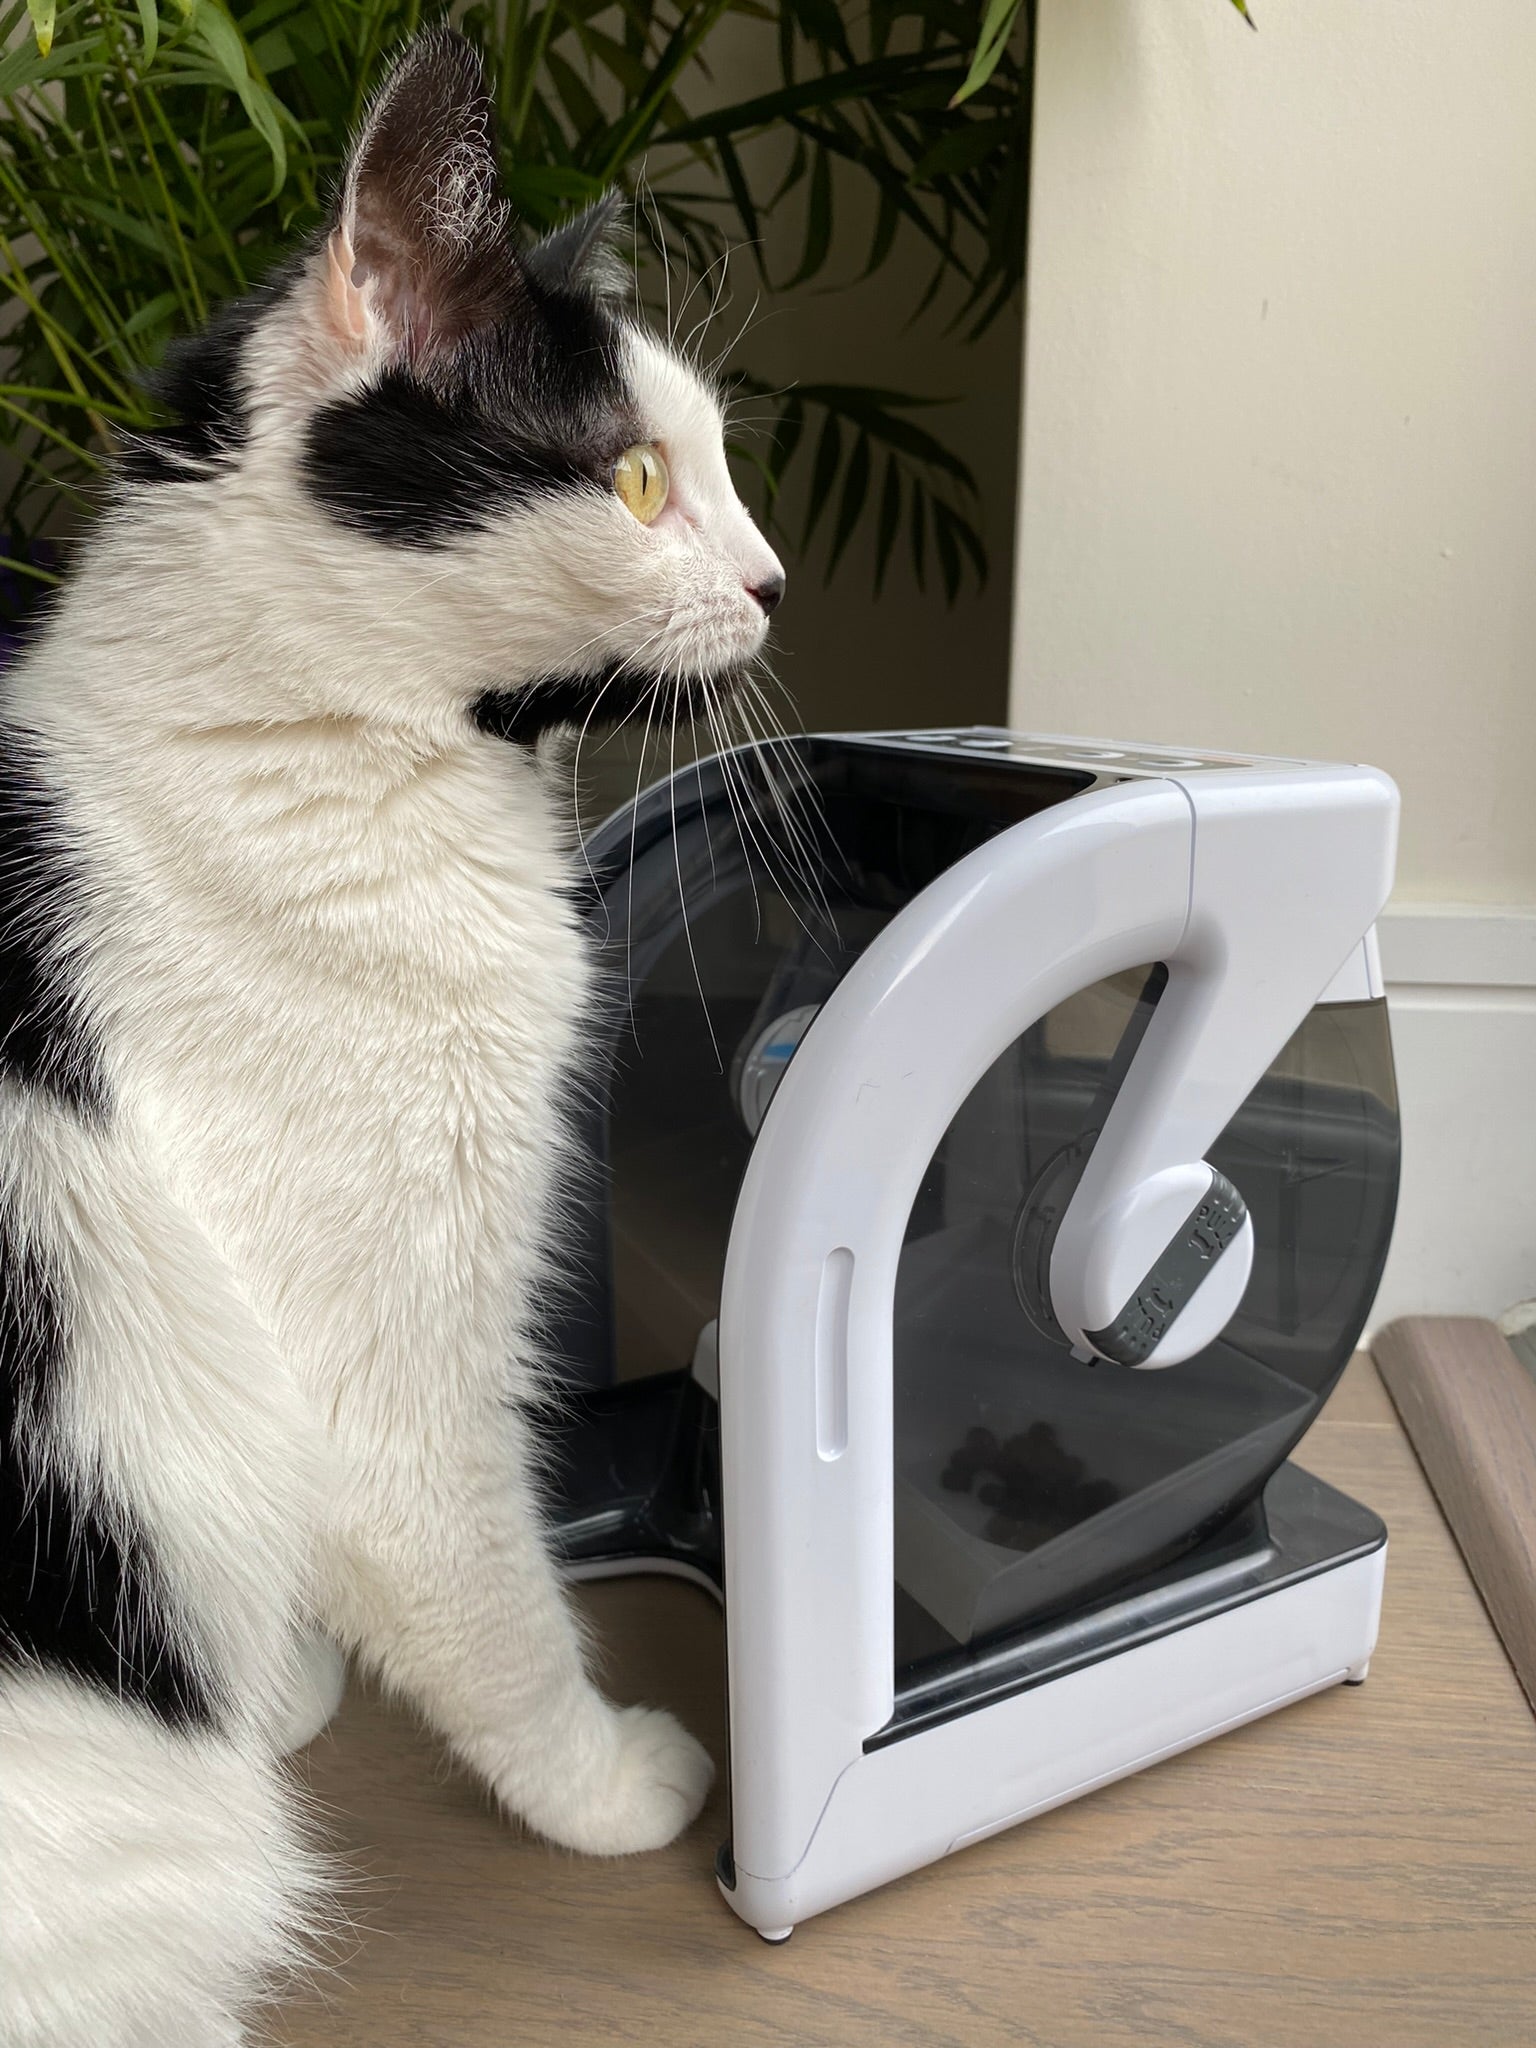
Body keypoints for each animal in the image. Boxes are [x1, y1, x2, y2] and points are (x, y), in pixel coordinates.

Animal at [0, 32, 786, 2048]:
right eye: (640, 476)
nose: (773, 582)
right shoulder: (393, 1366)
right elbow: (485, 1594)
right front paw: (608, 1785)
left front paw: (265, 1677)